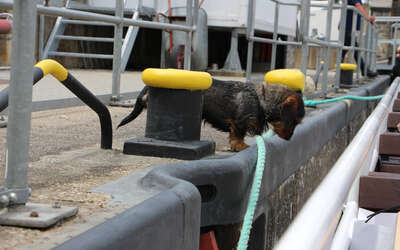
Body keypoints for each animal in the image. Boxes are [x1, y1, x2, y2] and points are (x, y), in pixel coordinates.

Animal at [117, 79, 304, 151]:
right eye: (294, 121)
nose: (290, 139)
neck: (260, 98)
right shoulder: (238, 123)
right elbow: (237, 136)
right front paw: (240, 146)